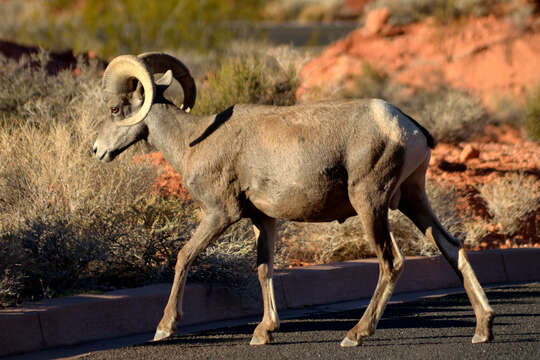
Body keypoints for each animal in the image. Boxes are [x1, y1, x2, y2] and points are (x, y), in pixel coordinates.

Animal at [93, 52, 494, 346]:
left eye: (114, 109)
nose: (96, 150)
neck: (194, 141)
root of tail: (409, 129)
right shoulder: (263, 220)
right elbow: (263, 268)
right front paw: (263, 332)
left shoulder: (221, 213)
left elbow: (184, 257)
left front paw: (164, 328)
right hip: (413, 199)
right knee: (452, 246)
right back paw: (483, 329)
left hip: (371, 203)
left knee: (391, 262)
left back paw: (356, 334)